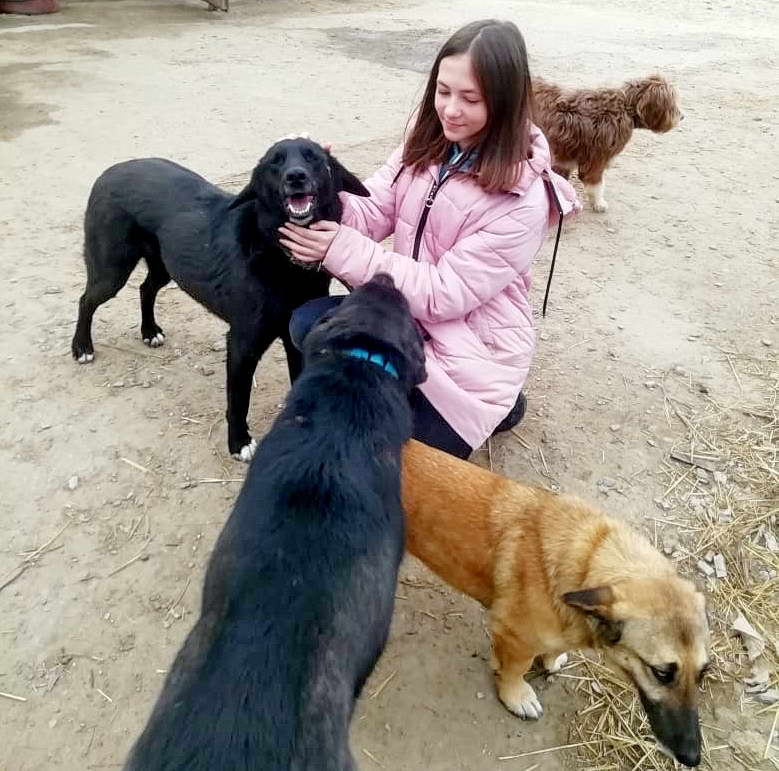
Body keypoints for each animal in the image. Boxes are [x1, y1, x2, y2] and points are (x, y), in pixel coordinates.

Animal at [71, 137, 369, 460]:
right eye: (275, 162)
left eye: (313, 158)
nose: (296, 177)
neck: (279, 253)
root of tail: (110, 171)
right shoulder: (241, 343)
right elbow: (238, 400)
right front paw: (239, 442)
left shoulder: (293, 337)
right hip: (112, 271)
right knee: (86, 300)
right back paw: (82, 347)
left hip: (165, 266)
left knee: (145, 289)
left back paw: (149, 331)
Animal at [401, 439, 709, 767]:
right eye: (661, 672)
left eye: (704, 672)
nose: (692, 757)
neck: (587, 561)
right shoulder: (516, 638)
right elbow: (516, 669)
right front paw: (516, 695)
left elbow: (551, 649)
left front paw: (550, 659)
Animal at [533, 74, 681, 212]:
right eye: (671, 104)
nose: (682, 116)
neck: (626, 108)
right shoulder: (596, 159)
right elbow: (595, 185)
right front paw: (599, 203)